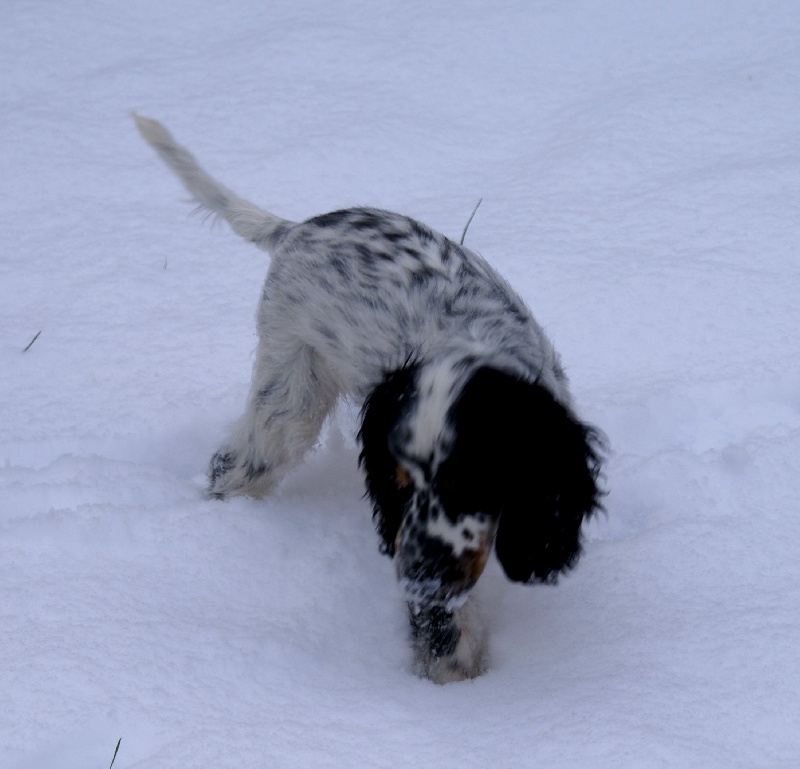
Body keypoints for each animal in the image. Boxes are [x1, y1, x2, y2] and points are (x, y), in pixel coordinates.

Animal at [134, 115, 604, 684]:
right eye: (399, 484)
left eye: (471, 482)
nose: (419, 577)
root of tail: (296, 229)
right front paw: (451, 670)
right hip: (291, 390)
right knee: (233, 464)